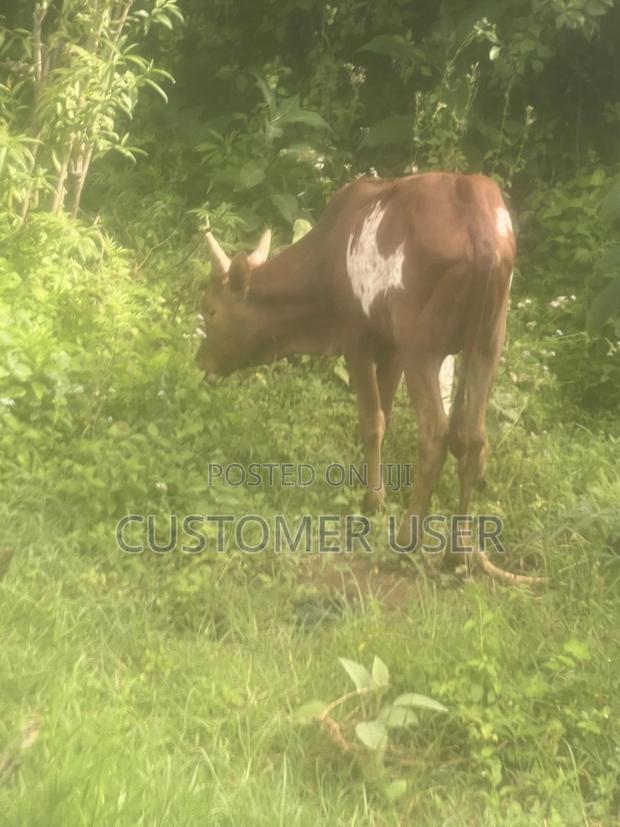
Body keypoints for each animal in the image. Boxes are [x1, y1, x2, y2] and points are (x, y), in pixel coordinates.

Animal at [196, 172, 516, 565]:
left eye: (210, 309)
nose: (200, 361)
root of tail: (481, 235)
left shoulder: (357, 338)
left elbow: (373, 422)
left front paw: (373, 500)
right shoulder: (391, 347)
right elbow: (386, 413)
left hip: (422, 347)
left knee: (435, 434)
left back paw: (407, 538)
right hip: (488, 342)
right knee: (475, 437)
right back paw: (457, 550)